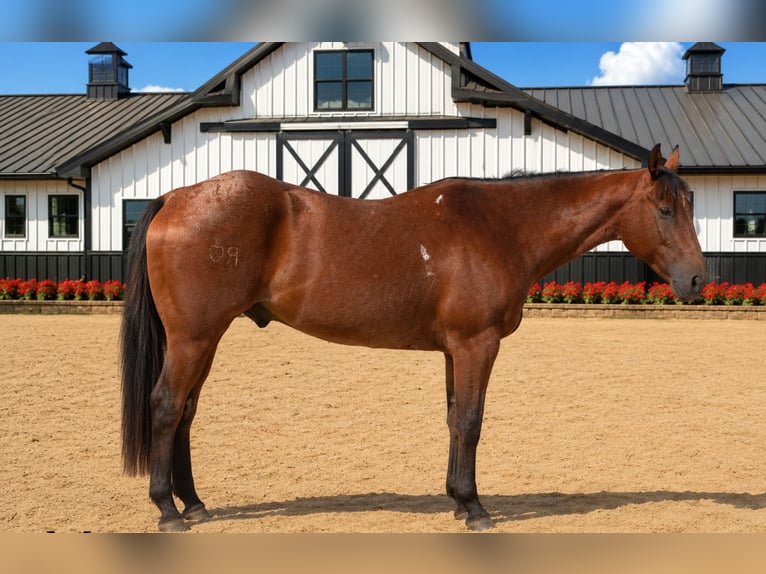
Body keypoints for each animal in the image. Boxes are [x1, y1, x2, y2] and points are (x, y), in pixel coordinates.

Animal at [120, 143, 706, 532]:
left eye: (691, 204)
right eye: (664, 209)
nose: (698, 280)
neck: (501, 227)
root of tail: (175, 197)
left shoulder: (455, 350)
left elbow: (453, 419)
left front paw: (457, 500)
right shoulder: (477, 344)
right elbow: (470, 422)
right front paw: (475, 508)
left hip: (205, 339)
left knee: (186, 413)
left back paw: (194, 502)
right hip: (194, 338)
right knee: (166, 406)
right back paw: (168, 511)